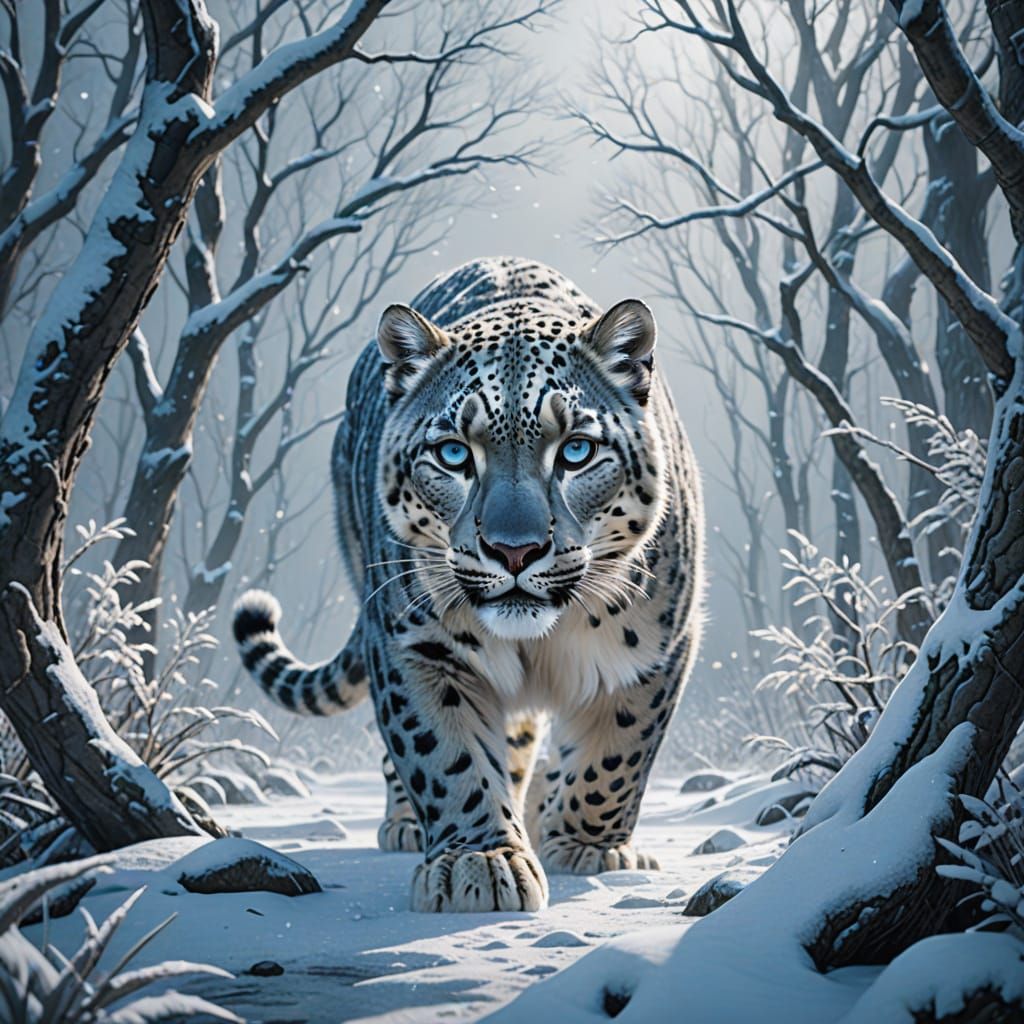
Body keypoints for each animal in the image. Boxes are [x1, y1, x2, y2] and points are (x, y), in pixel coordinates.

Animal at [233, 256, 703, 913]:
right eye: (454, 454)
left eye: (576, 451)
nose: (515, 550)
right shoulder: (417, 644)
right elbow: (446, 755)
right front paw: (479, 863)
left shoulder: (658, 649)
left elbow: (617, 753)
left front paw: (589, 848)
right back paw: (409, 825)